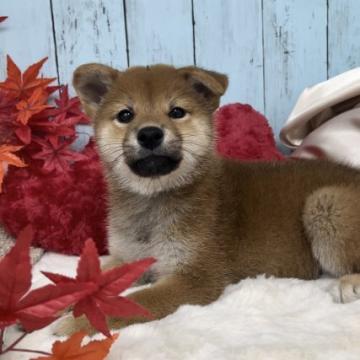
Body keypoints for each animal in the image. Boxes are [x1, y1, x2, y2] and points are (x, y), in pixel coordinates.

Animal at [54, 62, 360, 334]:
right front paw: (61, 298)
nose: (150, 133)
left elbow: (135, 302)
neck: (153, 200)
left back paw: (350, 284)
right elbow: (89, 280)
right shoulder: (127, 257)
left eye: (177, 112)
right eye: (125, 115)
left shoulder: (195, 277)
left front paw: (78, 322)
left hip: (325, 202)